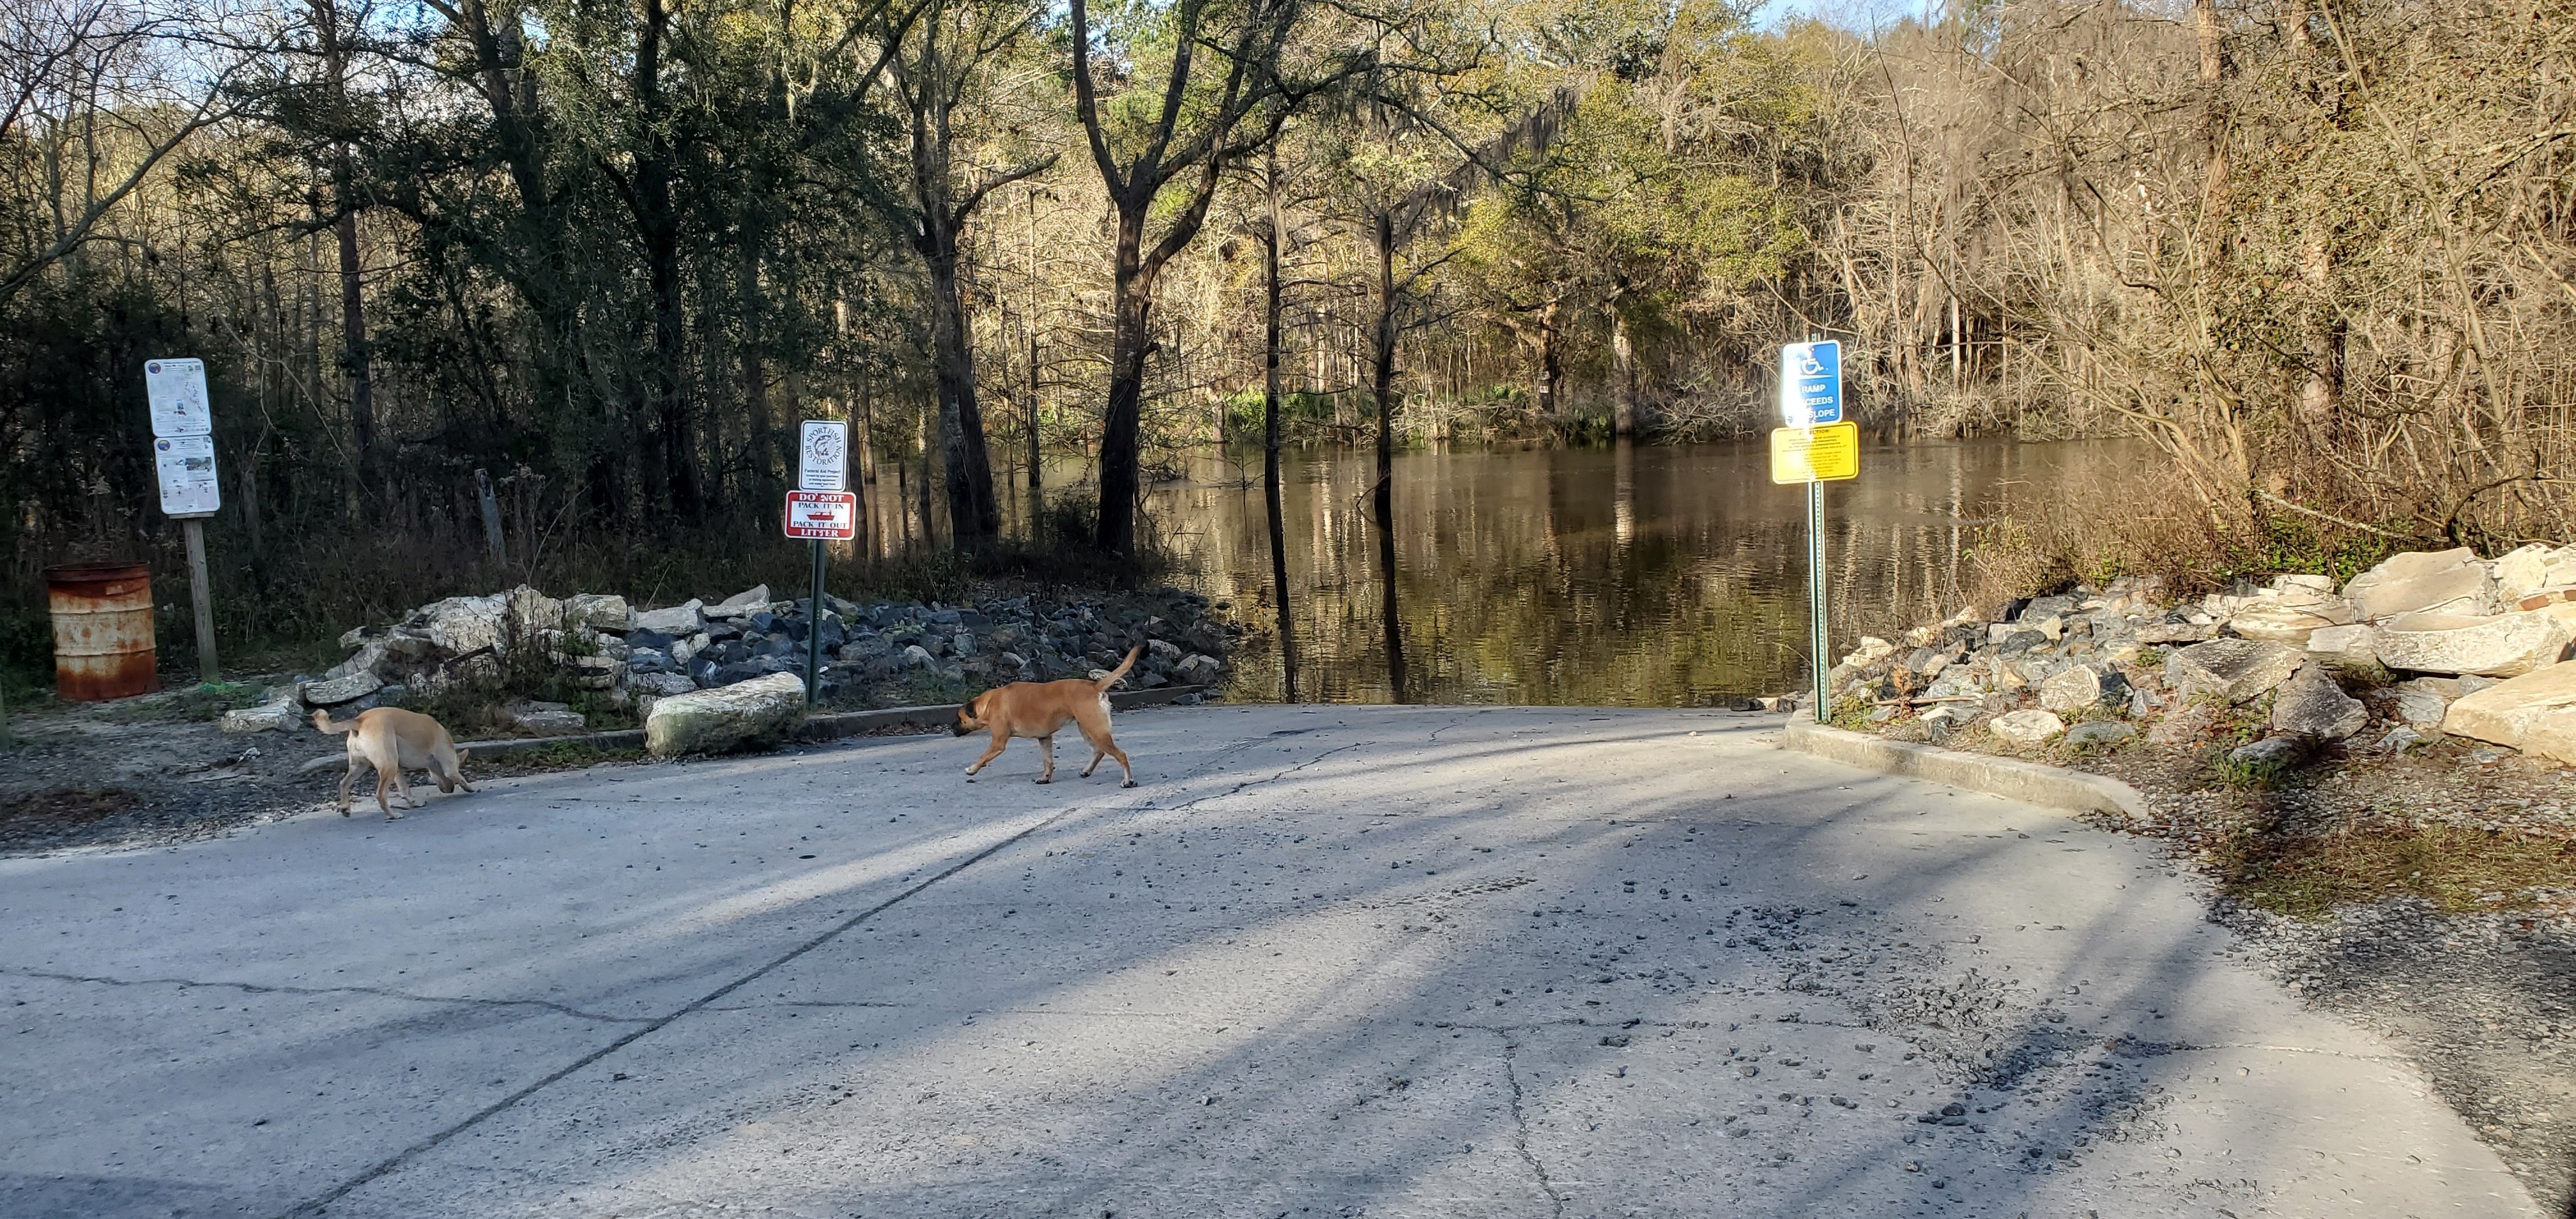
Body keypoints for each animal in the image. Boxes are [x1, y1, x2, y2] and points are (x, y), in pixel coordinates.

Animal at [312, 701, 479, 819]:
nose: (450, 790)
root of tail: (360, 720)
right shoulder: (449, 768)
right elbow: (460, 778)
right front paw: (471, 788)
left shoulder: (399, 770)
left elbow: (405, 790)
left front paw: (414, 803)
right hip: (387, 767)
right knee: (380, 795)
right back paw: (392, 815)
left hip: (361, 767)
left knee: (344, 784)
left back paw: (345, 808)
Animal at [958, 647, 1138, 788]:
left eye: (959, 718)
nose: (953, 727)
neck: (988, 704)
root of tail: (1095, 686)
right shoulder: (1044, 738)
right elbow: (1048, 761)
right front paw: (1045, 778)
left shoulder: (998, 743)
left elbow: (983, 757)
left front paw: (972, 769)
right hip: (1087, 729)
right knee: (1098, 751)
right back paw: (1087, 771)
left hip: (1097, 731)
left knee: (1121, 755)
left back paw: (1127, 781)